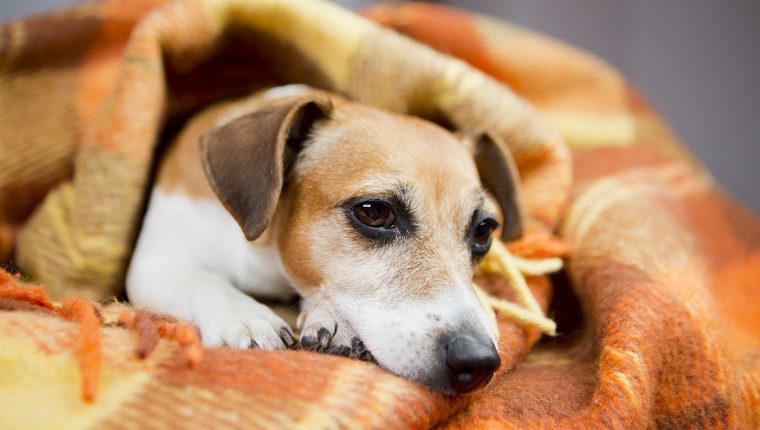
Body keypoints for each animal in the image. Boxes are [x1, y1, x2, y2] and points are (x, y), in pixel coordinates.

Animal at [127, 83, 524, 394]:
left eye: (484, 230)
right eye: (374, 212)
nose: (479, 360)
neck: (265, 246)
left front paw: (331, 320)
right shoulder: (152, 263)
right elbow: (202, 279)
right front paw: (245, 317)